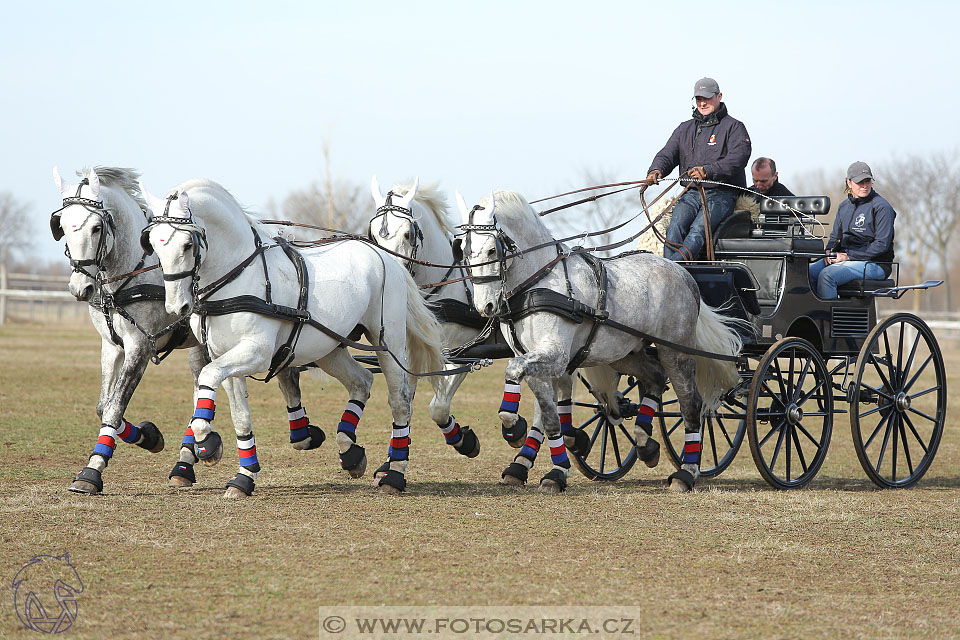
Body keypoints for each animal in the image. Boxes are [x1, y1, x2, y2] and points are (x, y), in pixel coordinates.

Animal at [49, 168, 326, 498]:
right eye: (62, 225)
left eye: (95, 227)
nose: (80, 288)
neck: (131, 271)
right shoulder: (111, 346)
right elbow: (103, 406)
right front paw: (150, 437)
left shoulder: (140, 346)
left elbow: (115, 407)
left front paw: (92, 471)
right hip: (201, 345)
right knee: (202, 387)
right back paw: (186, 463)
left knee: (286, 371)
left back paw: (301, 434)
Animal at [141, 179, 448, 496]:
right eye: (153, 244)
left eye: (187, 244)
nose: (176, 307)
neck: (238, 275)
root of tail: (388, 257)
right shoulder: (224, 356)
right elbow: (239, 415)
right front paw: (242, 476)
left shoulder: (256, 352)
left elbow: (208, 376)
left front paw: (207, 443)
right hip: (329, 347)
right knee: (362, 381)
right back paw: (350, 452)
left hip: (388, 344)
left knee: (400, 400)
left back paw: (394, 474)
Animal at [460, 189, 744, 490]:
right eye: (464, 251)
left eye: (492, 250)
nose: (484, 307)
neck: (539, 284)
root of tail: (684, 273)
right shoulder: (533, 358)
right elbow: (548, 416)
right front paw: (552, 469)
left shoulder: (555, 355)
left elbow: (515, 374)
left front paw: (515, 429)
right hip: (625, 353)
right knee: (655, 378)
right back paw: (645, 444)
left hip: (674, 351)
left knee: (691, 404)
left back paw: (686, 473)